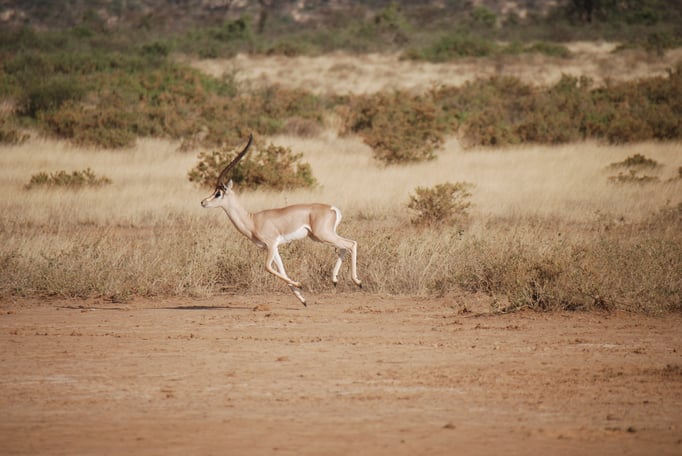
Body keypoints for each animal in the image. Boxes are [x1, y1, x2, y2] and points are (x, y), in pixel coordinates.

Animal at [200, 134, 362, 306]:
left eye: (218, 193)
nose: (203, 202)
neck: (253, 221)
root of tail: (333, 208)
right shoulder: (273, 248)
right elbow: (282, 270)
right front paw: (302, 299)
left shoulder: (271, 245)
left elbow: (268, 267)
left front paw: (300, 284)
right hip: (320, 237)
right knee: (344, 246)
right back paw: (335, 280)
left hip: (323, 235)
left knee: (351, 244)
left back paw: (358, 282)